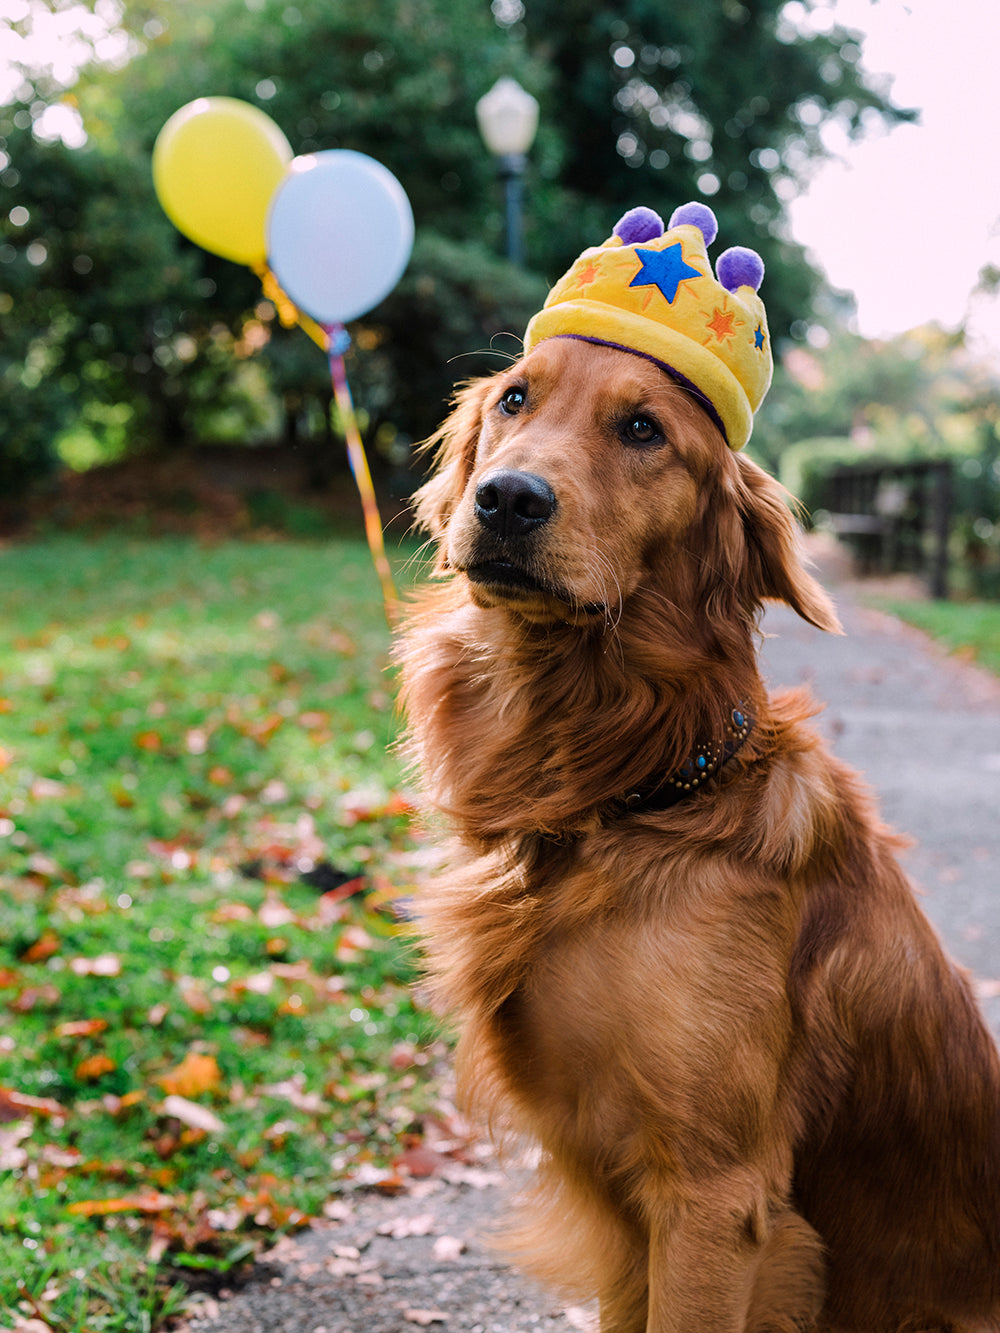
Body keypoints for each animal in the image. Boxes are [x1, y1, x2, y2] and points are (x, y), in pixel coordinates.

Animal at [397, 335, 1000, 1333]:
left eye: (644, 429)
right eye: (515, 400)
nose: (509, 498)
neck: (631, 795)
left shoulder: (713, 1196)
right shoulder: (621, 1208)